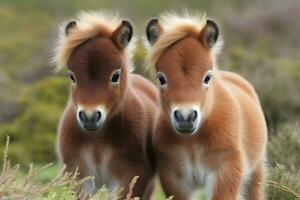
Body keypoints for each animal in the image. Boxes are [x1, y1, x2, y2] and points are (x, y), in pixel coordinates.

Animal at [51, 12, 158, 198]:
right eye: (72, 76)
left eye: (115, 76)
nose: (90, 117)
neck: (97, 140)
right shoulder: (79, 175)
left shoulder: (129, 176)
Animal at [145, 12, 268, 200]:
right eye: (161, 78)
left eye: (207, 77)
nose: (186, 117)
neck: (192, 141)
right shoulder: (174, 176)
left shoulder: (225, 171)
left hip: (255, 174)